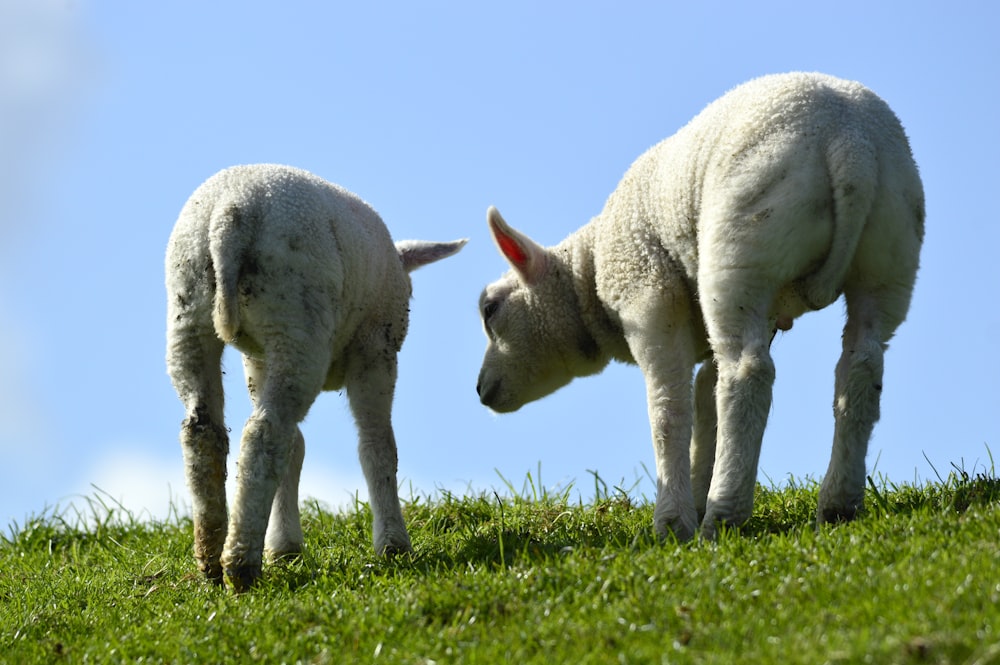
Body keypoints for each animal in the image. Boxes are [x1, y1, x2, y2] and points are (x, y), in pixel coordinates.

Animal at [166, 163, 466, 588]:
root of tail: (229, 216)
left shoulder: (257, 360)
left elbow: (297, 449)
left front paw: (284, 546)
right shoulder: (374, 350)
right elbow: (377, 446)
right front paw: (393, 545)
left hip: (192, 312)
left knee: (205, 431)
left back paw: (210, 560)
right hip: (297, 316)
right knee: (266, 433)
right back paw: (241, 566)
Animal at [474, 72, 920, 540]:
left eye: (489, 309)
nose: (481, 390)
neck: (590, 276)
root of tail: (851, 143)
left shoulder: (648, 297)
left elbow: (669, 410)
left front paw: (673, 522)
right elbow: (707, 399)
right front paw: (697, 486)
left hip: (743, 242)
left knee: (747, 373)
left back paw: (725, 515)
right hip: (890, 249)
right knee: (860, 367)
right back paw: (837, 505)